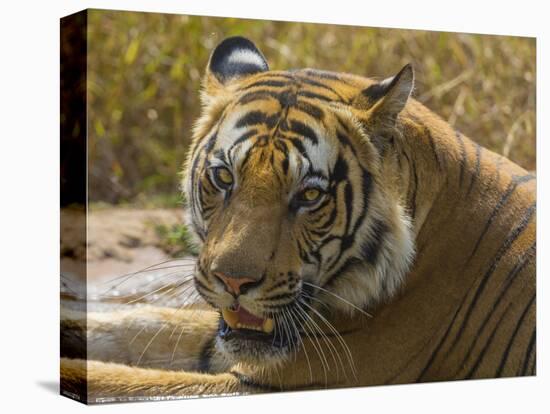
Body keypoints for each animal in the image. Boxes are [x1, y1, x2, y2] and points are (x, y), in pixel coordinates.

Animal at [61, 36, 540, 404]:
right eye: (224, 177)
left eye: (309, 195)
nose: (234, 283)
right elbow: (143, 325)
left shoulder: (277, 380)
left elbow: (117, 379)